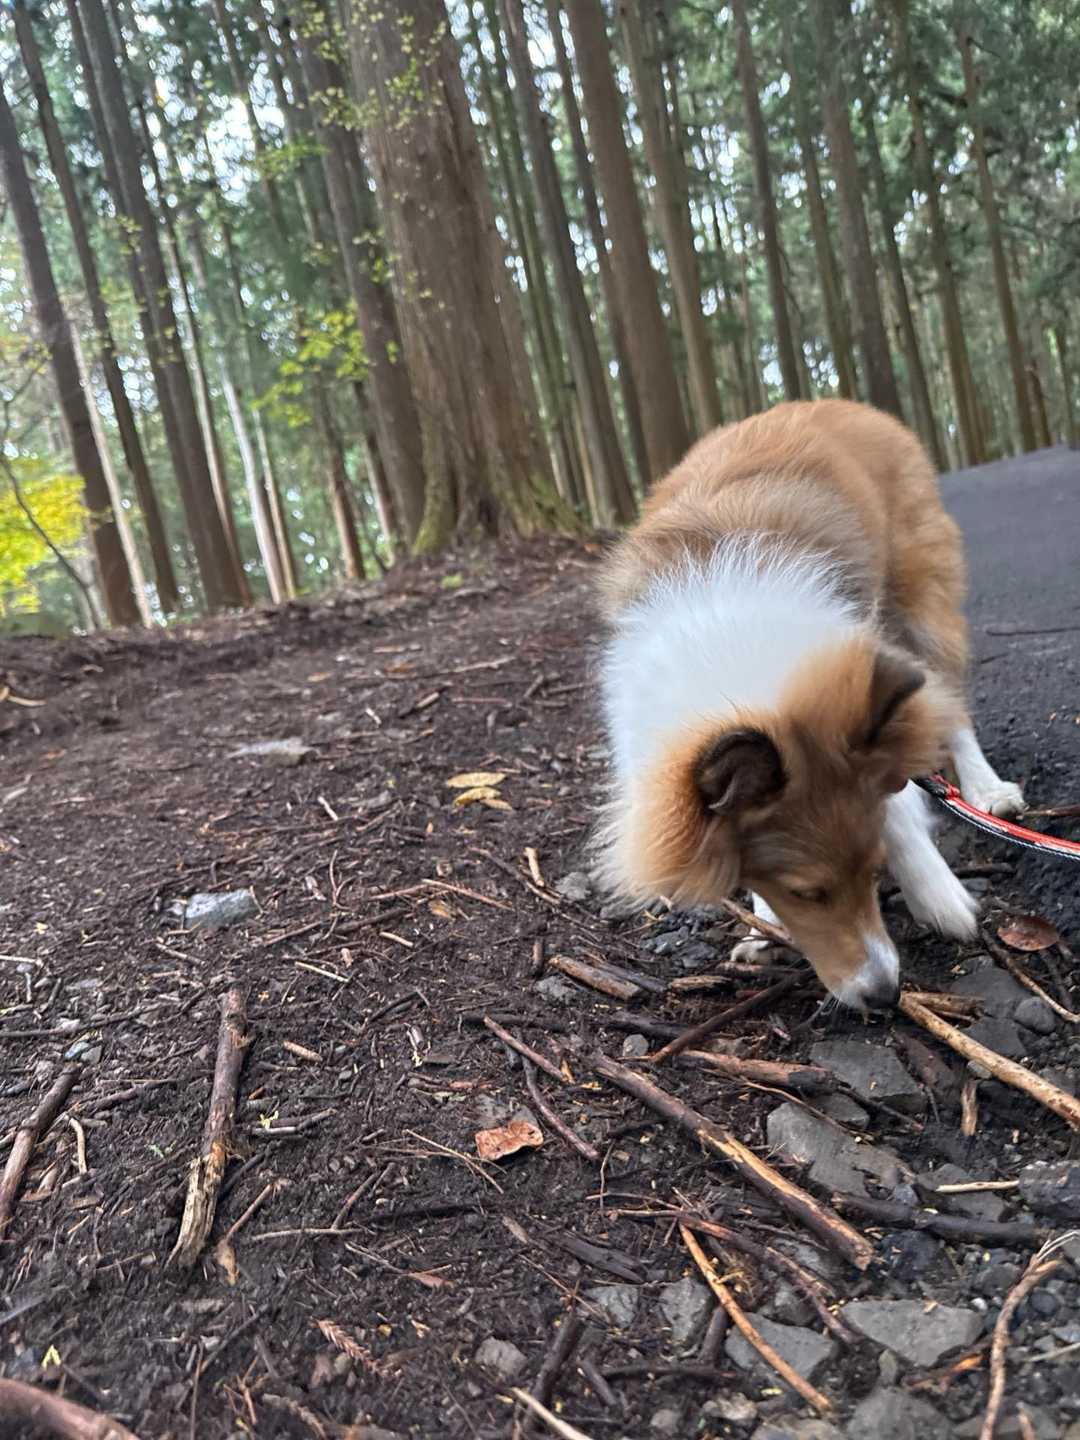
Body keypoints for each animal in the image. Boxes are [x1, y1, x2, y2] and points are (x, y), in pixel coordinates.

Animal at [593, 399, 1024, 1010]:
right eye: (806, 893)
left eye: (874, 870)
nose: (885, 995)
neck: (735, 659)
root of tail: (843, 404)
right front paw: (762, 924)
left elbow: (898, 811)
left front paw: (941, 897)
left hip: (919, 607)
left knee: (952, 709)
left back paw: (986, 791)